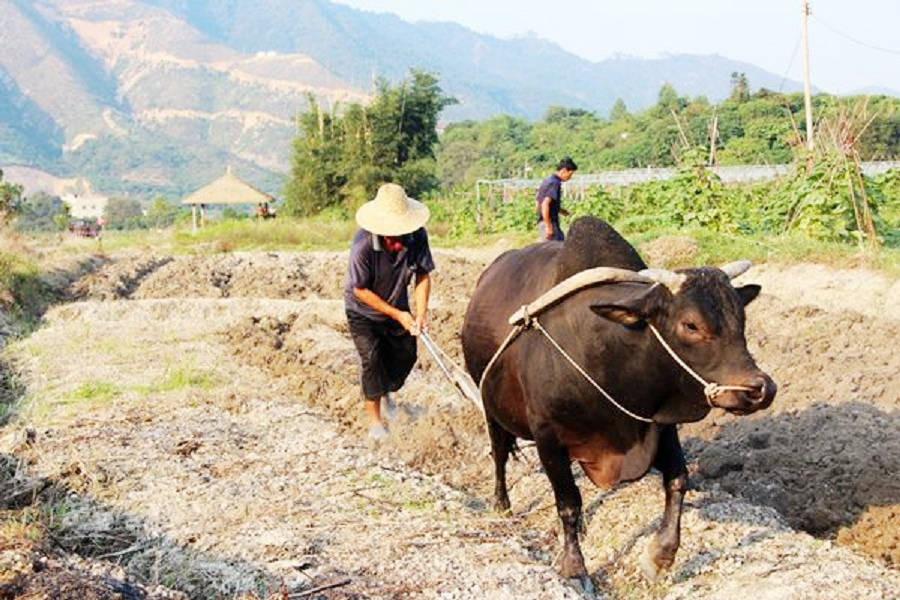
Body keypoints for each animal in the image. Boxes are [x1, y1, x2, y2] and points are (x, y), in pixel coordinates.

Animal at [460, 218, 776, 588]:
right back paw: (502, 503)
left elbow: (678, 481)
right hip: (490, 407)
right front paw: (575, 568)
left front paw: (660, 557)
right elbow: (568, 503)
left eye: (741, 320)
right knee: (499, 454)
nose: (760, 389)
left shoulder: (659, 426)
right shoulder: (547, 438)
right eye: (691, 324)